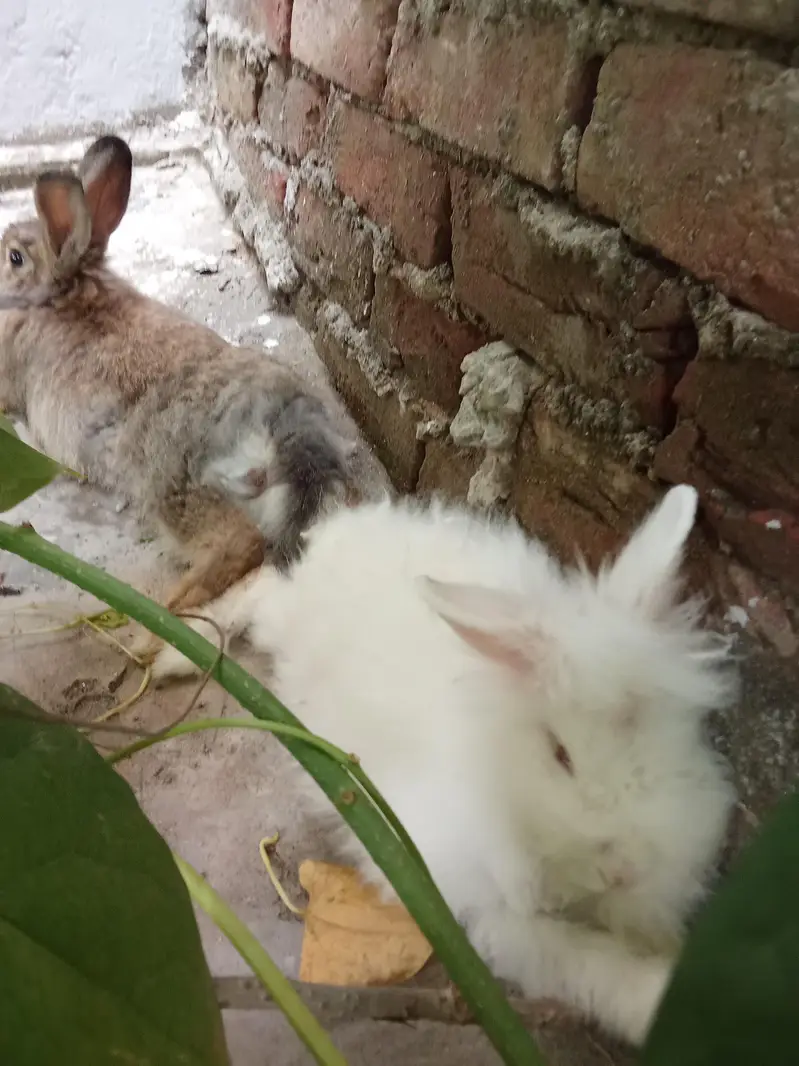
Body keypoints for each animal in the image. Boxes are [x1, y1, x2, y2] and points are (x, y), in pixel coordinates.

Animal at [0, 135, 356, 613]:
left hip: (174, 480)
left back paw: (165, 610)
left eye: (15, 257)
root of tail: (285, 422)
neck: (63, 293)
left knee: (237, 543)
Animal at [151, 484, 737, 1045]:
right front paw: (654, 1000)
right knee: (261, 588)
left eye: (677, 731)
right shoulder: (489, 910)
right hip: (282, 620)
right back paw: (176, 656)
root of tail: (344, 531)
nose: (627, 869)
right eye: (560, 755)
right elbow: (581, 961)